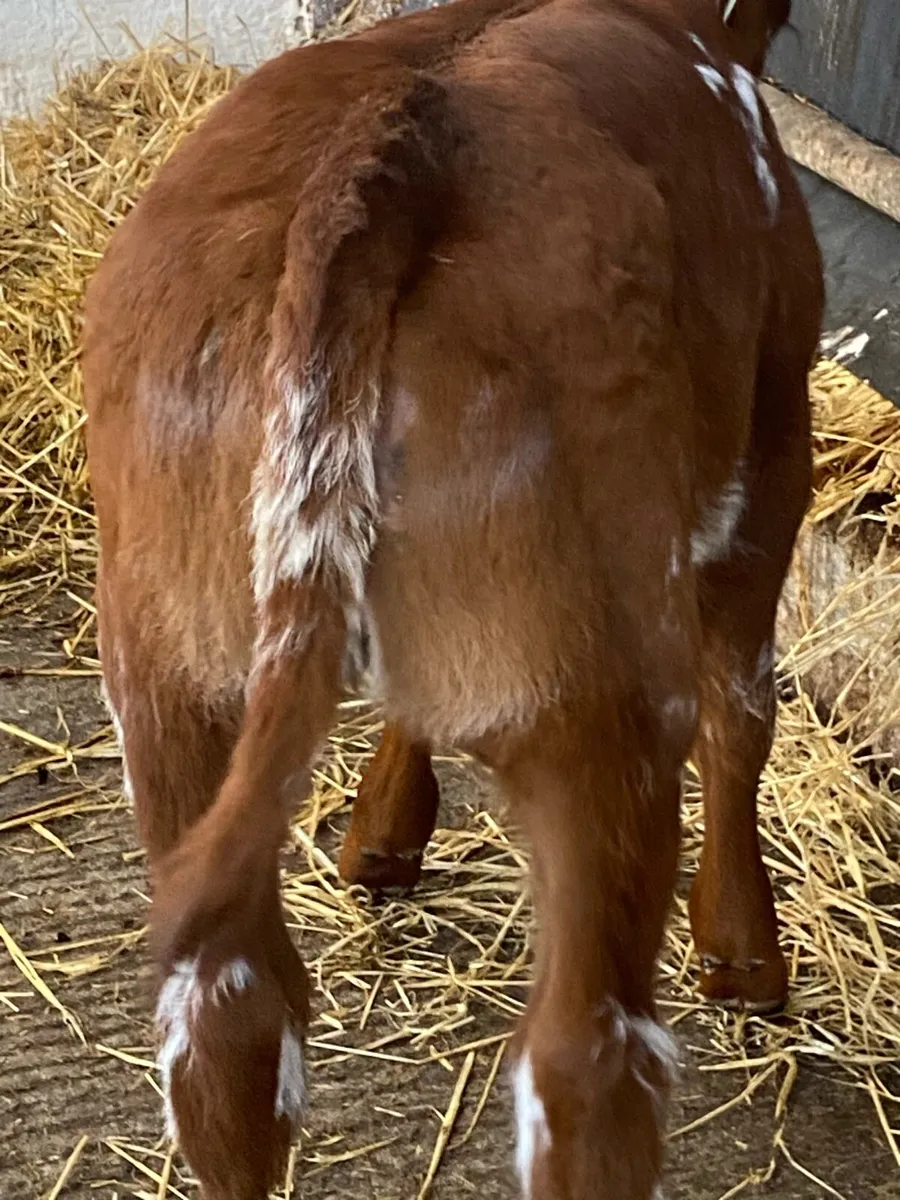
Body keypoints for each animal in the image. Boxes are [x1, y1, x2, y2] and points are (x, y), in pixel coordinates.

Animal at [82, 0, 823, 1195]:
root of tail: (389, 150)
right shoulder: (772, 446)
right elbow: (745, 715)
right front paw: (745, 953)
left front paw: (383, 834)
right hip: (603, 689)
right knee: (589, 1068)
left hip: (164, 671)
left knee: (227, 1028)